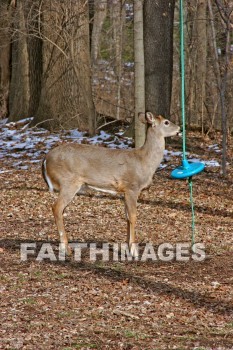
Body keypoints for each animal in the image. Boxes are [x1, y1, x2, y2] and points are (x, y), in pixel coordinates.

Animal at [41, 112, 180, 258]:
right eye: (166, 122)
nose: (179, 129)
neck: (144, 161)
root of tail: (46, 159)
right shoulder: (132, 187)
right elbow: (133, 216)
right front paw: (134, 252)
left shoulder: (124, 191)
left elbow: (126, 216)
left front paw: (127, 249)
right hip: (68, 182)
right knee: (56, 208)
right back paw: (66, 250)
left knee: (60, 210)